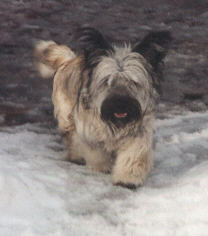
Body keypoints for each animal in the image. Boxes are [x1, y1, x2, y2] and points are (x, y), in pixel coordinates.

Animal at [33, 27, 171, 188]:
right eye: (107, 81)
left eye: (133, 82)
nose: (120, 103)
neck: (116, 123)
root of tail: (69, 61)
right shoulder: (89, 132)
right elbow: (96, 153)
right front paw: (101, 167)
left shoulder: (138, 133)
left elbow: (133, 155)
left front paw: (126, 179)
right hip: (66, 115)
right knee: (71, 137)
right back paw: (76, 156)